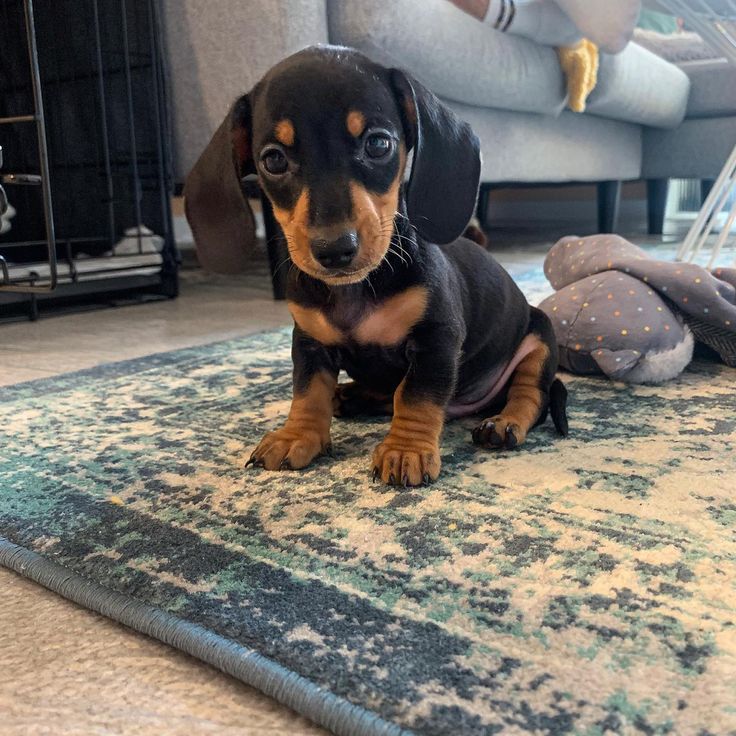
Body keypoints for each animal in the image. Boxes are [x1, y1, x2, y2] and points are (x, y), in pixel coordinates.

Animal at [187, 44, 568, 484]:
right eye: (274, 160)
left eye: (379, 144)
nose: (335, 249)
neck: (355, 288)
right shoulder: (309, 341)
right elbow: (307, 391)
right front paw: (296, 435)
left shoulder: (436, 340)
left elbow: (415, 395)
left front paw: (406, 450)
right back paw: (350, 395)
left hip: (540, 335)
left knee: (532, 393)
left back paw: (506, 422)